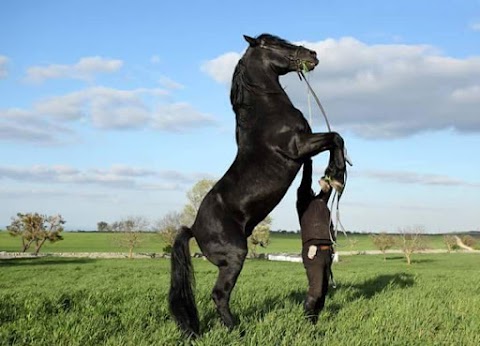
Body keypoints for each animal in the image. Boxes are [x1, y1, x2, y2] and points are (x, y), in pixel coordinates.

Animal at [169, 33, 344, 336]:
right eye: (274, 43)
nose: (312, 54)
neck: (267, 112)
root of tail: (194, 228)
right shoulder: (298, 146)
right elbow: (335, 137)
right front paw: (338, 173)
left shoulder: (304, 150)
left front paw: (331, 174)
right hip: (235, 257)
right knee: (219, 295)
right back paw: (236, 330)